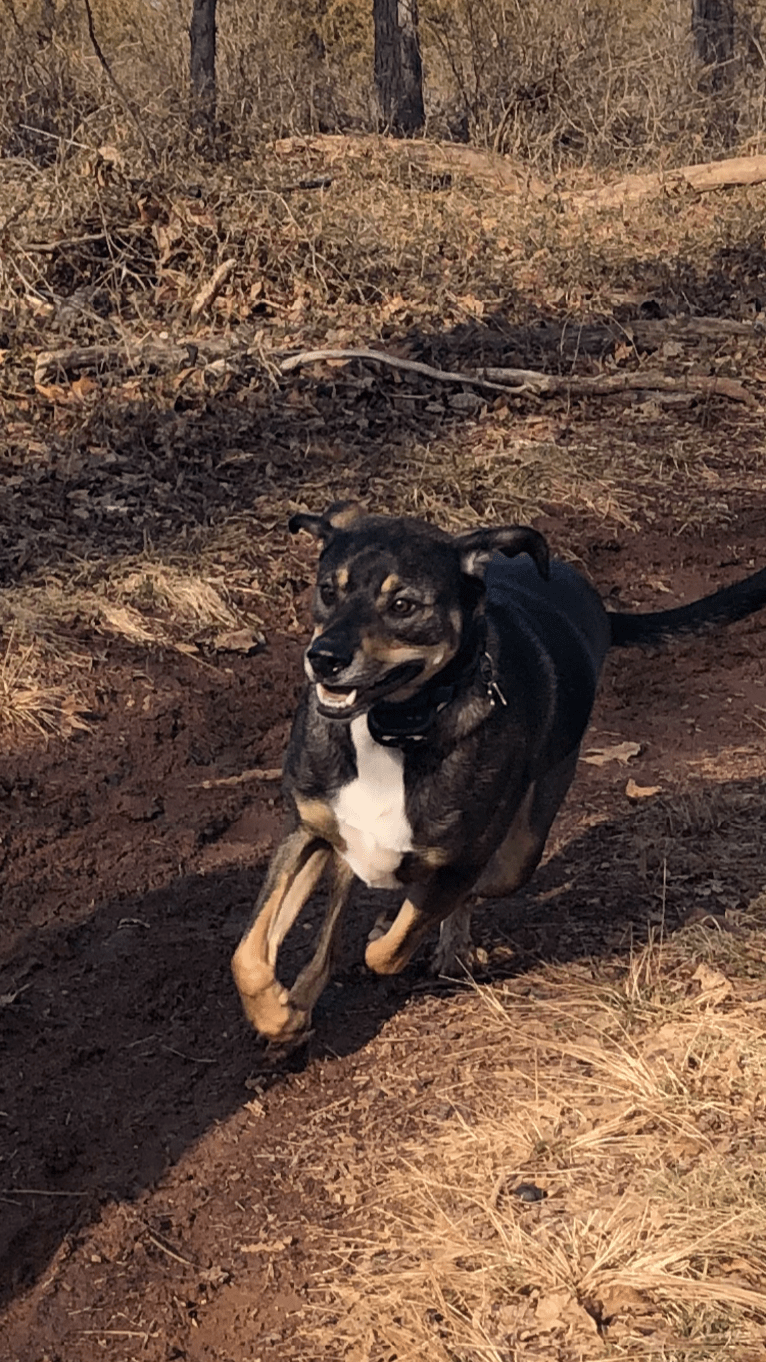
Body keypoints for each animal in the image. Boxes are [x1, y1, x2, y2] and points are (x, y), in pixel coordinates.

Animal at [231, 501, 763, 1040]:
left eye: (402, 605)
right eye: (327, 590)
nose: (324, 658)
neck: (393, 731)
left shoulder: (460, 857)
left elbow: (392, 945)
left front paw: (388, 933)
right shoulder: (309, 829)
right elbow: (250, 953)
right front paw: (279, 1012)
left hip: (521, 845)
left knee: (472, 888)